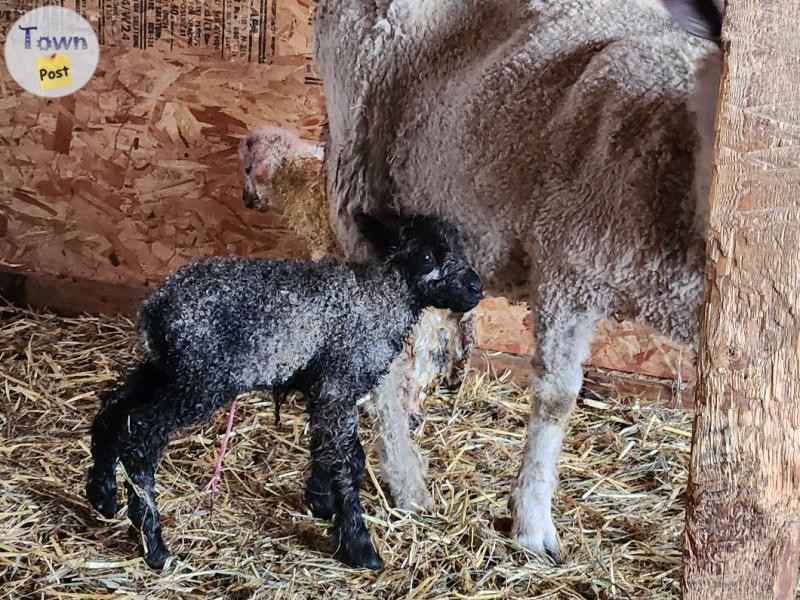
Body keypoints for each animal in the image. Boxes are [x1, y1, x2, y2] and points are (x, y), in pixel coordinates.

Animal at [84, 212, 482, 572]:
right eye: (427, 257)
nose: (476, 287)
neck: (380, 297)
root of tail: (155, 312)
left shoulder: (323, 387)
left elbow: (324, 447)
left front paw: (320, 503)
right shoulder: (339, 381)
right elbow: (349, 463)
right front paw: (359, 546)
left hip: (165, 369)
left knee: (112, 413)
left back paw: (103, 498)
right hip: (205, 377)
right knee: (141, 434)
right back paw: (154, 545)